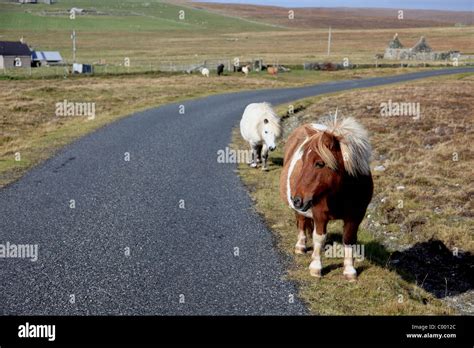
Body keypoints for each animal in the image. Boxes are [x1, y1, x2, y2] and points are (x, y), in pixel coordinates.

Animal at [278, 116, 374, 280]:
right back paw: (301, 246)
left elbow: (349, 239)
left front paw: (349, 270)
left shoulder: (355, 216)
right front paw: (316, 267)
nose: (297, 200)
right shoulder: (319, 214)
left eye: (319, 163)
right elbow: (319, 237)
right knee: (301, 221)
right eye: (303, 160)